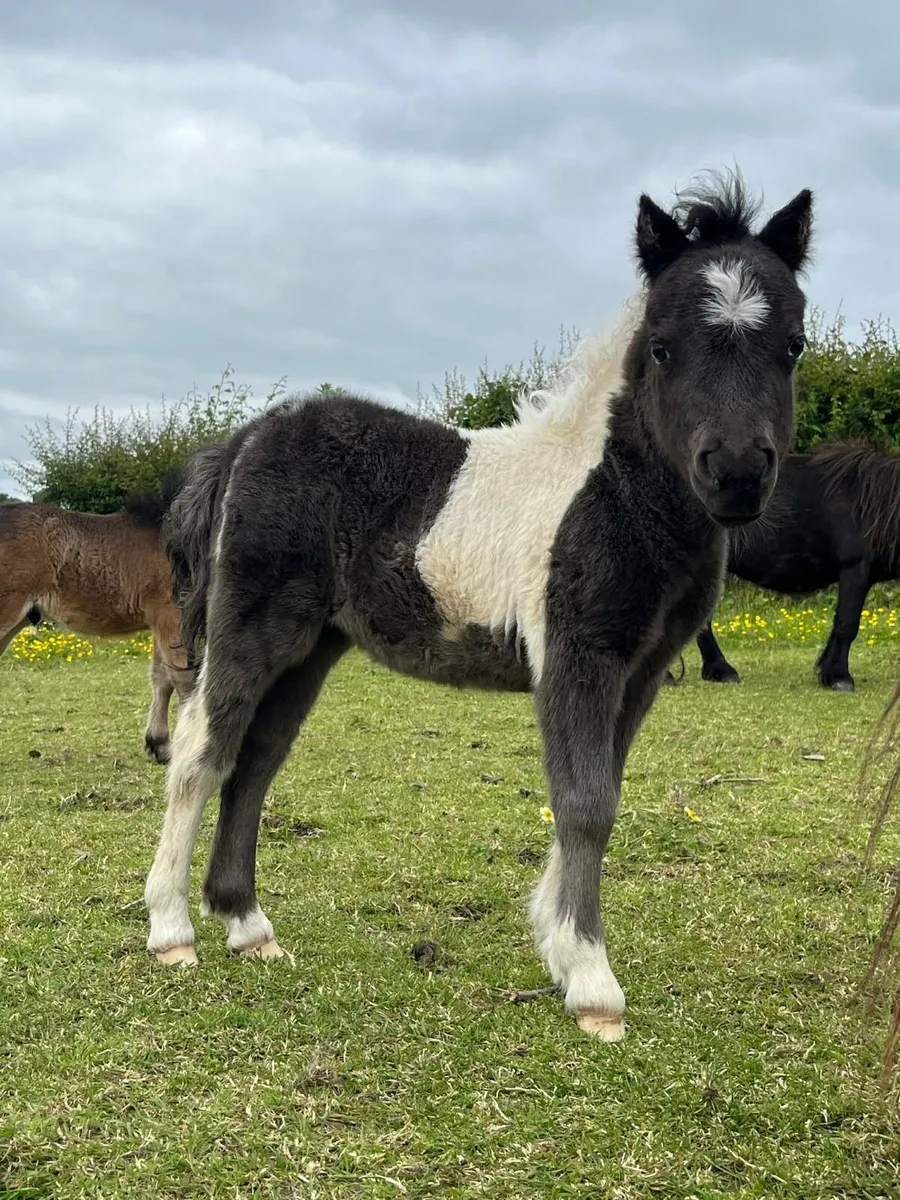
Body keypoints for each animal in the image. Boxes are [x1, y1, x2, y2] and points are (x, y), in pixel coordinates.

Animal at [144, 172, 813, 1041]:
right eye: (664, 347)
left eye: (793, 345)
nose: (734, 472)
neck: (611, 489)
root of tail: (244, 440)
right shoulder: (577, 656)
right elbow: (585, 803)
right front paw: (593, 985)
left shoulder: (640, 672)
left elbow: (600, 794)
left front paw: (559, 949)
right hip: (252, 628)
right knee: (202, 750)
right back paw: (171, 930)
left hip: (312, 646)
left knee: (255, 760)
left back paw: (248, 926)